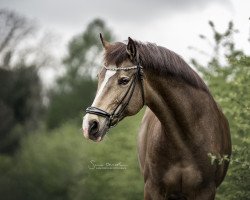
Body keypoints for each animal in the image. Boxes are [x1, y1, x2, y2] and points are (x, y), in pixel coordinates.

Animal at [83, 33, 231, 199]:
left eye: (124, 80)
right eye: (99, 76)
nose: (90, 125)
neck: (186, 141)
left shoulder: (205, 191)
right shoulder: (152, 189)